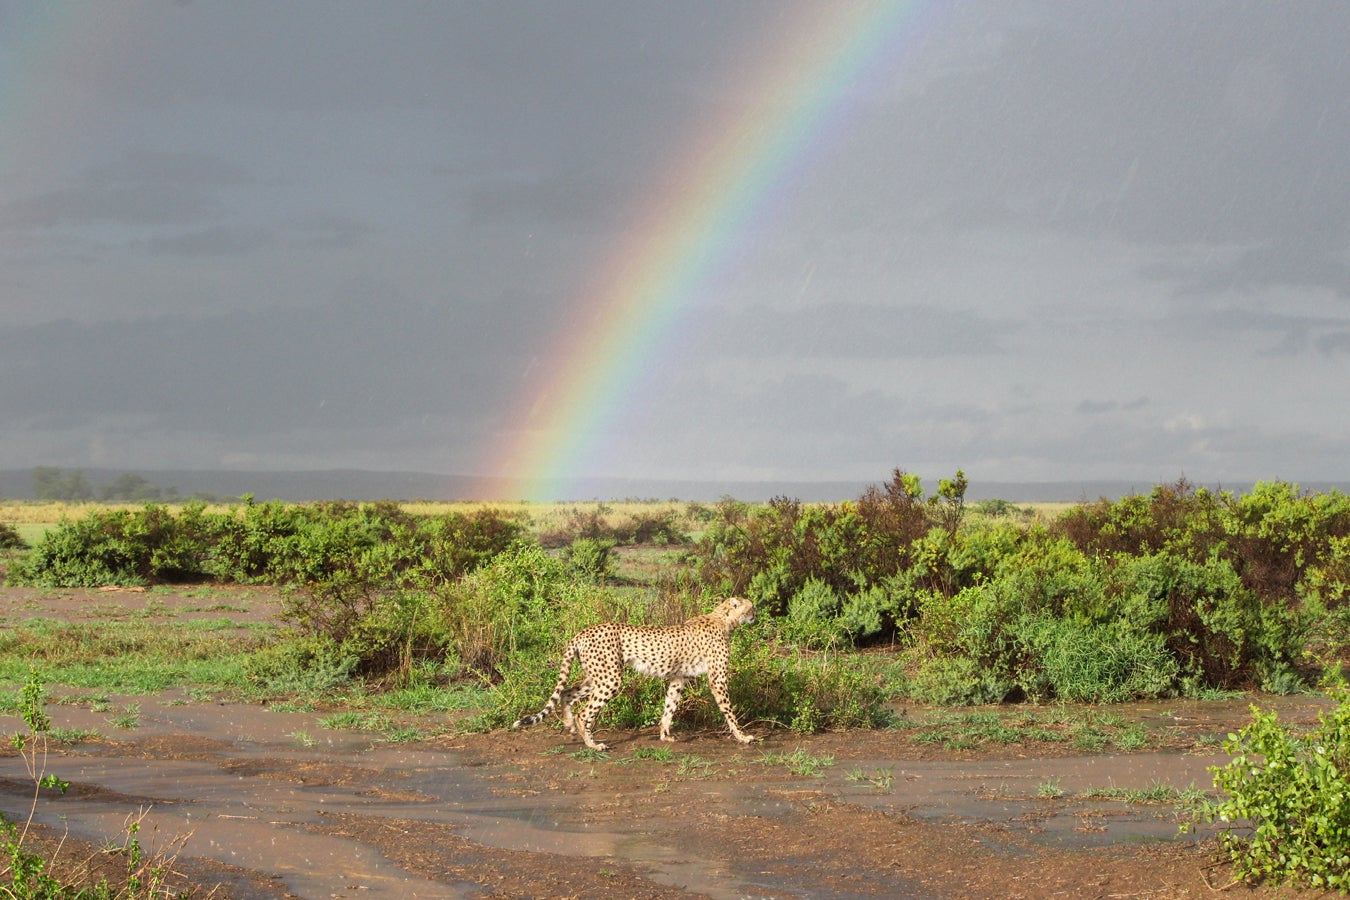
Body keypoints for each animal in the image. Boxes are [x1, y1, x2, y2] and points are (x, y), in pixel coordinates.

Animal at [511, 596, 758, 751]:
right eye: (751, 607)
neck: (724, 619)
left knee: (567, 693)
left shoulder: (678, 678)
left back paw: (570, 726)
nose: (756, 616)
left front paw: (664, 735)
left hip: (597, 677)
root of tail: (582, 632)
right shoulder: (717, 679)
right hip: (610, 678)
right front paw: (742, 736)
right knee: (584, 712)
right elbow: (728, 711)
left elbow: (669, 706)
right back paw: (592, 743)